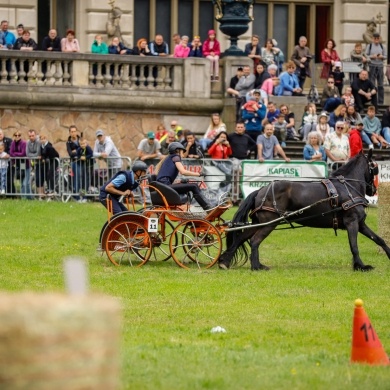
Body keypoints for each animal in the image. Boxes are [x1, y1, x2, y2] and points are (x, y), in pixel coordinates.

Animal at [219, 149, 390, 272]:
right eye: (375, 168)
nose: (373, 190)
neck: (348, 187)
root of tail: (261, 190)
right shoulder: (352, 222)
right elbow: (354, 246)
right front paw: (361, 266)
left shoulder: (360, 224)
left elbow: (379, 239)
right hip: (269, 223)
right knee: (254, 241)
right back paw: (256, 266)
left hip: (259, 222)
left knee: (241, 238)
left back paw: (225, 262)